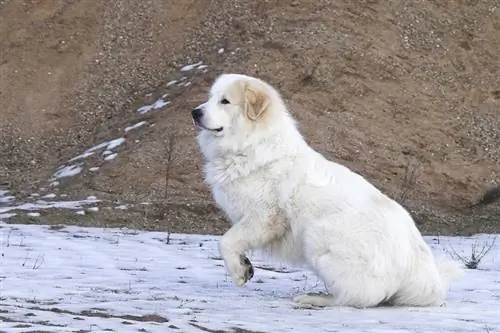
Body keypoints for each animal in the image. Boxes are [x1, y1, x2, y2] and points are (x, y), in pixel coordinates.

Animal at [191, 72, 460, 306]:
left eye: (225, 101)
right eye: (210, 97)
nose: (195, 112)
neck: (251, 145)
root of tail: (418, 265)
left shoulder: (264, 216)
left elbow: (226, 241)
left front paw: (239, 272)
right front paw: (245, 265)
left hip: (317, 235)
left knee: (360, 297)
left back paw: (316, 298)